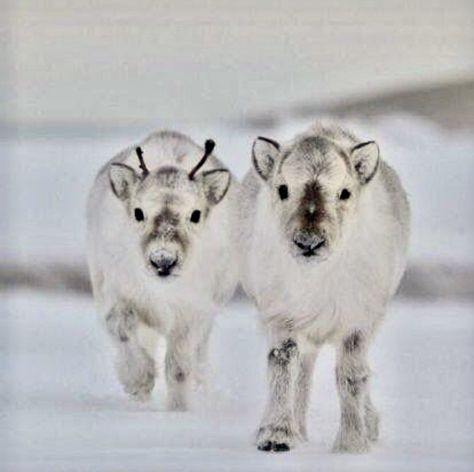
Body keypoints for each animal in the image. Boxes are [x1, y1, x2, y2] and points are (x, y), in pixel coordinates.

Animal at [87, 130, 239, 410]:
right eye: (138, 212)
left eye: (195, 214)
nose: (163, 261)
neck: (162, 291)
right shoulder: (116, 295)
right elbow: (122, 330)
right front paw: (139, 383)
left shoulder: (193, 313)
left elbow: (178, 368)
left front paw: (178, 410)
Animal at [241, 122, 412, 454]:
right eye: (283, 189)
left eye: (344, 192)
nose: (309, 242)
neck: (315, 278)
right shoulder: (281, 317)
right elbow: (282, 366)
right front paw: (276, 436)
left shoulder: (357, 322)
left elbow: (351, 376)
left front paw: (352, 445)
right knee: (303, 373)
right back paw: (297, 431)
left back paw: (369, 425)